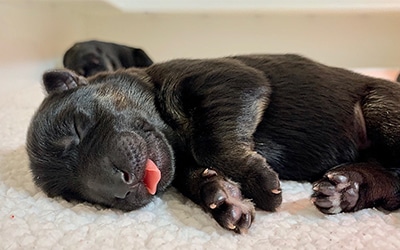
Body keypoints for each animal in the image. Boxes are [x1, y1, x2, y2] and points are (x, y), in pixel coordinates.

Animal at [26, 54, 400, 234]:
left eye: (79, 127)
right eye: (74, 194)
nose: (119, 190)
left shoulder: (228, 81)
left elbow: (211, 143)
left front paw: (257, 179)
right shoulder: (182, 163)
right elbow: (198, 175)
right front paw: (224, 200)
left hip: (381, 109)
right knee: (393, 183)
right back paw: (346, 188)